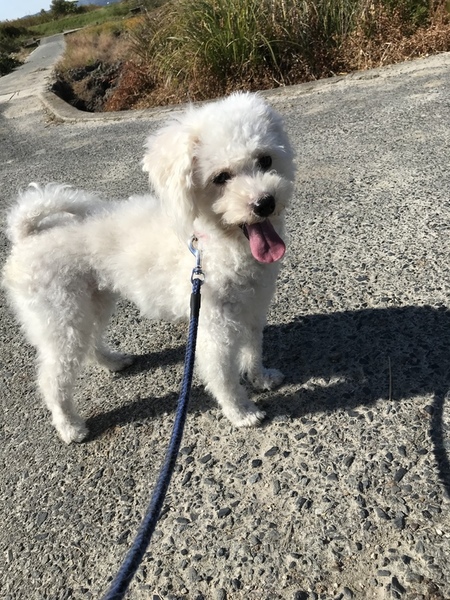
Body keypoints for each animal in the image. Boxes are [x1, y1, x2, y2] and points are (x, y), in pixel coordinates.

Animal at [2, 92, 295, 444]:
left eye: (265, 160)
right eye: (221, 178)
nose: (265, 203)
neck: (212, 245)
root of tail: (26, 236)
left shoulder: (253, 309)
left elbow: (254, 348)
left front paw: (261, 378)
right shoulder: (213, 327)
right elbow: (222, 375)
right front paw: (242, 412)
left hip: (93, 302)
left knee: (90, 343)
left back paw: (113, 361)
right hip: (61, 318)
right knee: (52, 377)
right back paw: (69, 426)